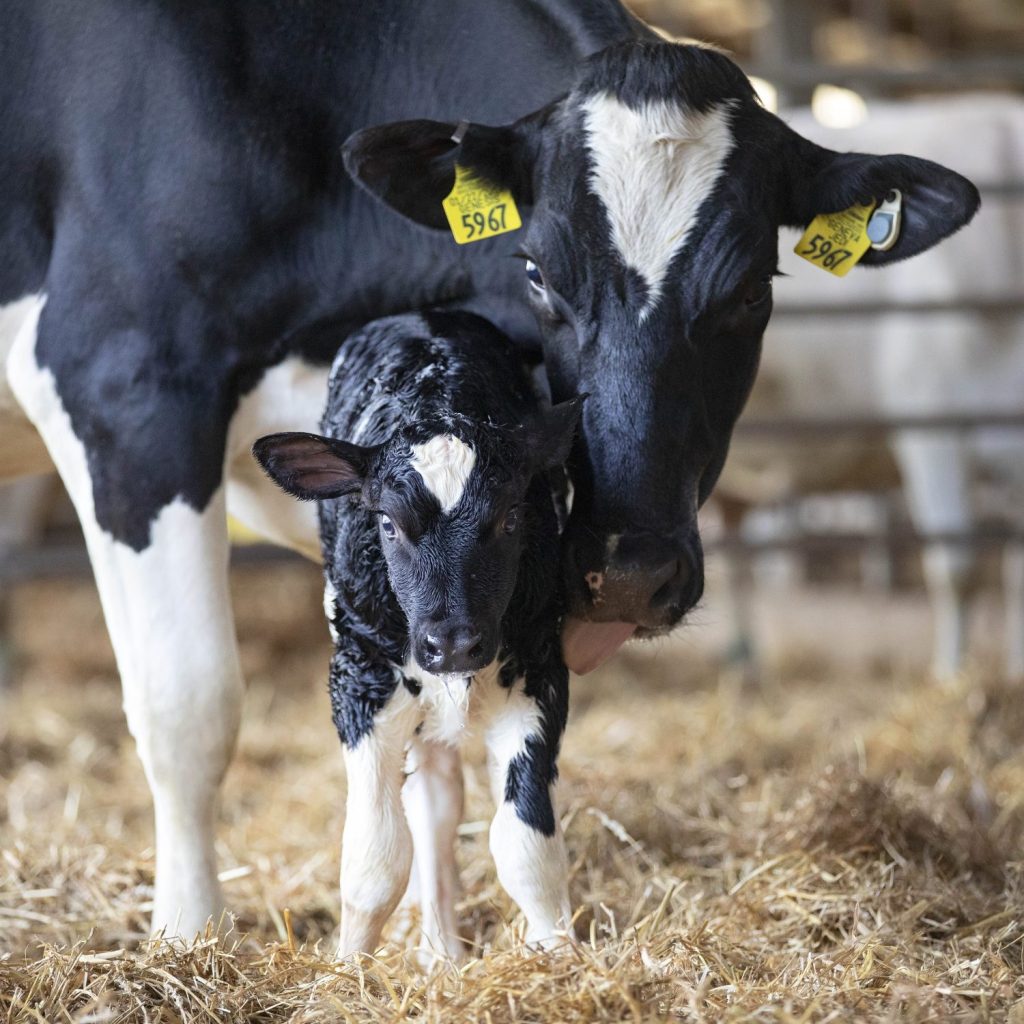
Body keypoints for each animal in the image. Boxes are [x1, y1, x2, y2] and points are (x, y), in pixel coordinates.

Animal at [252, 309, 581, 958]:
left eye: (512, 516)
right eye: (386, 523)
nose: (452, 642)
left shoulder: (540, 674)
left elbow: (526, 849)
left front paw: (564, 958)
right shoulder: (358, 682)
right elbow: (375, 860)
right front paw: (348, 966)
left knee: (437, 806)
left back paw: (441, 951)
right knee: (428, 808)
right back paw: (438, 952)